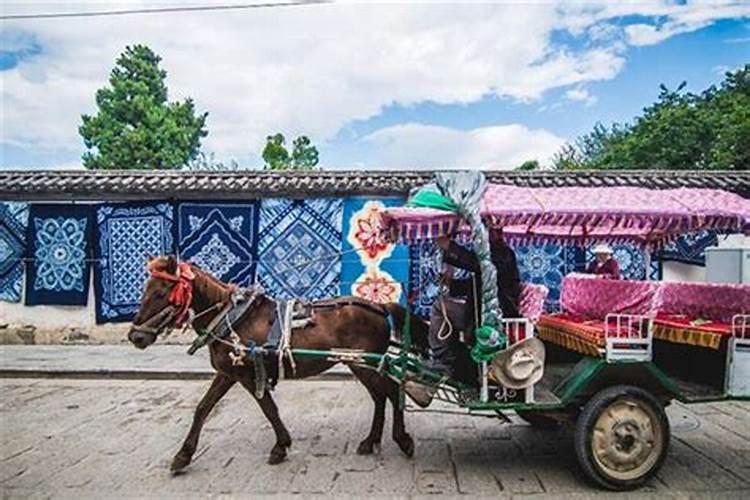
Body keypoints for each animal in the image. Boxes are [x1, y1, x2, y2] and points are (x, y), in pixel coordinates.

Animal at [129, 256, 428, 470]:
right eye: (145, 291)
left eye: (160, 292)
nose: (135, 336)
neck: (231, 318)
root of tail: (379, 306)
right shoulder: (228, 373)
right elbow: (203, 409)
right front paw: (183, 456)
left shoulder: (248, 375)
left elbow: (268, 408)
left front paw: (281, 446)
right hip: (359, 364)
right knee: (380, 396)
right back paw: (370, 441)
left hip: (364, 362)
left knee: (392, 392)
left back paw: (402, 440)